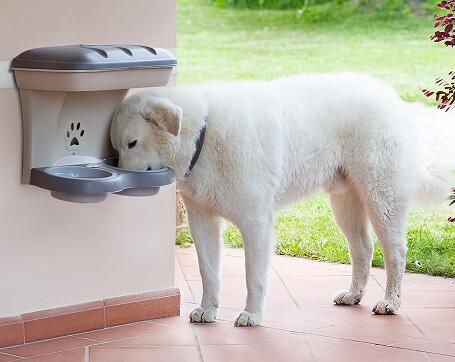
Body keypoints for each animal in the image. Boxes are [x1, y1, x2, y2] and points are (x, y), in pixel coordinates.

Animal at [110, 72, 452, 326]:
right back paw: (353, 294)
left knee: (395, 253)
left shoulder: (256, 223)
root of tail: (389, 95)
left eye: (132, 143)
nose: (121, 182)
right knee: (363, 249)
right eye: (116, 147)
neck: (202, 137)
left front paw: (251, 314)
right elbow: (208, 272)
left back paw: (390, 302)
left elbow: (253, 276)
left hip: (381, 199)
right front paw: (208, 310)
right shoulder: (202, 221)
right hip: (344, 203)